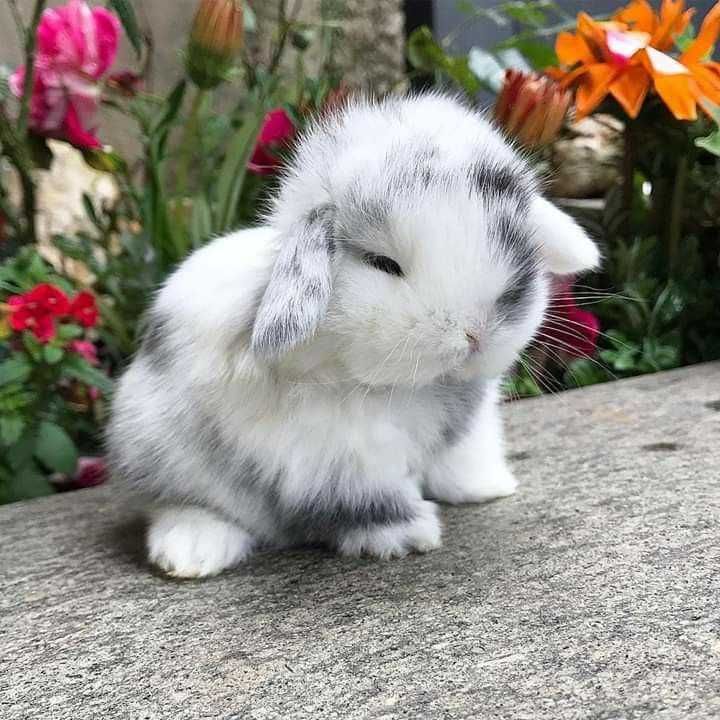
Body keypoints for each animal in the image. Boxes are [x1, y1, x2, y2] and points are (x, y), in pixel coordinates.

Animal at [108, 94, 600, 580]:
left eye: (514, 241)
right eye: (382, 263)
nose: (475, 333)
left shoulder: (468, 423)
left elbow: (462, 455)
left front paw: (489, 487)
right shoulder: (340, 454)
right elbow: (369, 498)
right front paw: (408, 534)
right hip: (163, 454)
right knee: (181, 503)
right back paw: (190, 554)